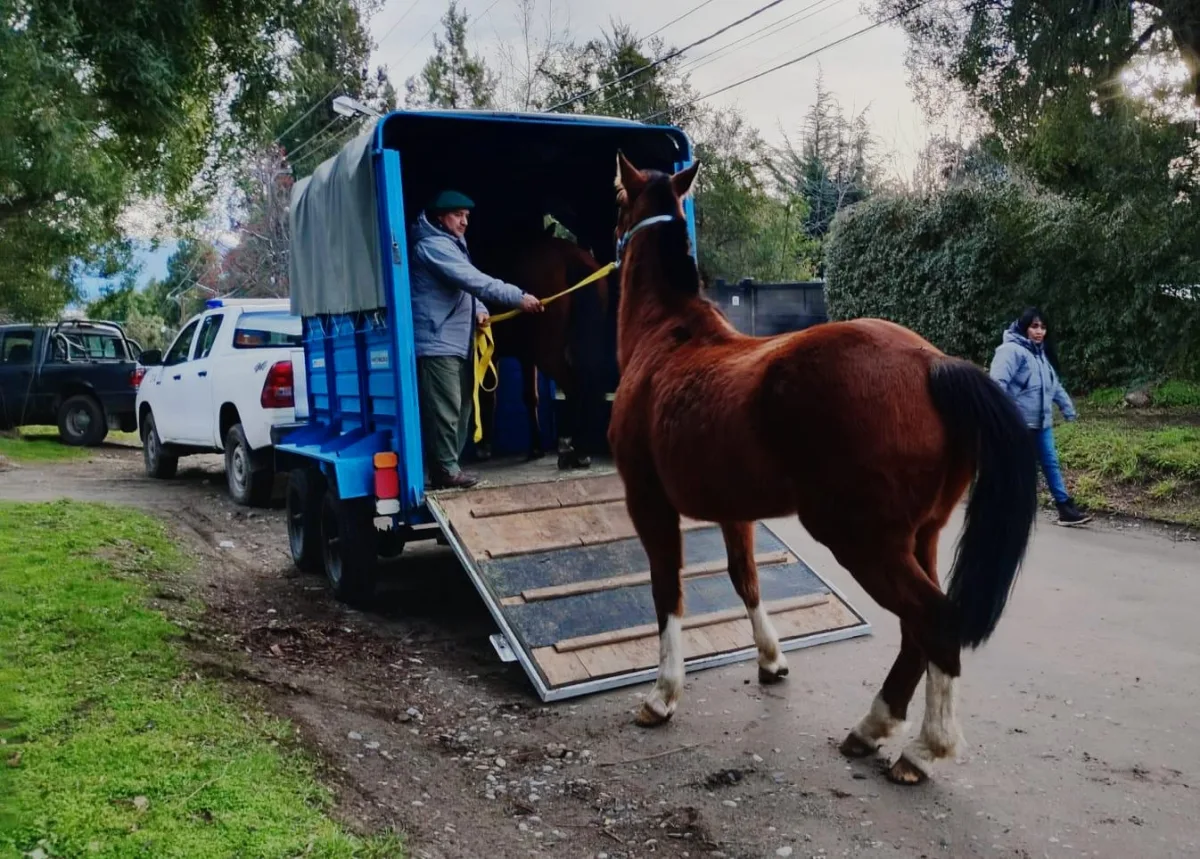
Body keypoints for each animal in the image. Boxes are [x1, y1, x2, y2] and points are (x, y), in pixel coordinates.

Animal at [475, 226, 612, 470]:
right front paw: (536, 448)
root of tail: (570, 257)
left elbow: (487, 395)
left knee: (574, 387)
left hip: (547, 353)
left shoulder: (494, 352)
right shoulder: (526, 357)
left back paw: (572, 450)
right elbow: (530, 397)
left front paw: (484, 447)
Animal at [607, 152, 1039, 785]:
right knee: (918, 630)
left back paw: (921, 749)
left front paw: (663, 696)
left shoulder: (649, 503)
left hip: (864, 541)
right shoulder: (735, 513)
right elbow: (745, 579)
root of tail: (933, 364)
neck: (668, 336)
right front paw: (770, 660)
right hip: (921, 536)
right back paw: (874, 728)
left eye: (618, 198)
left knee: (933, 620)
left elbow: (668, 592)